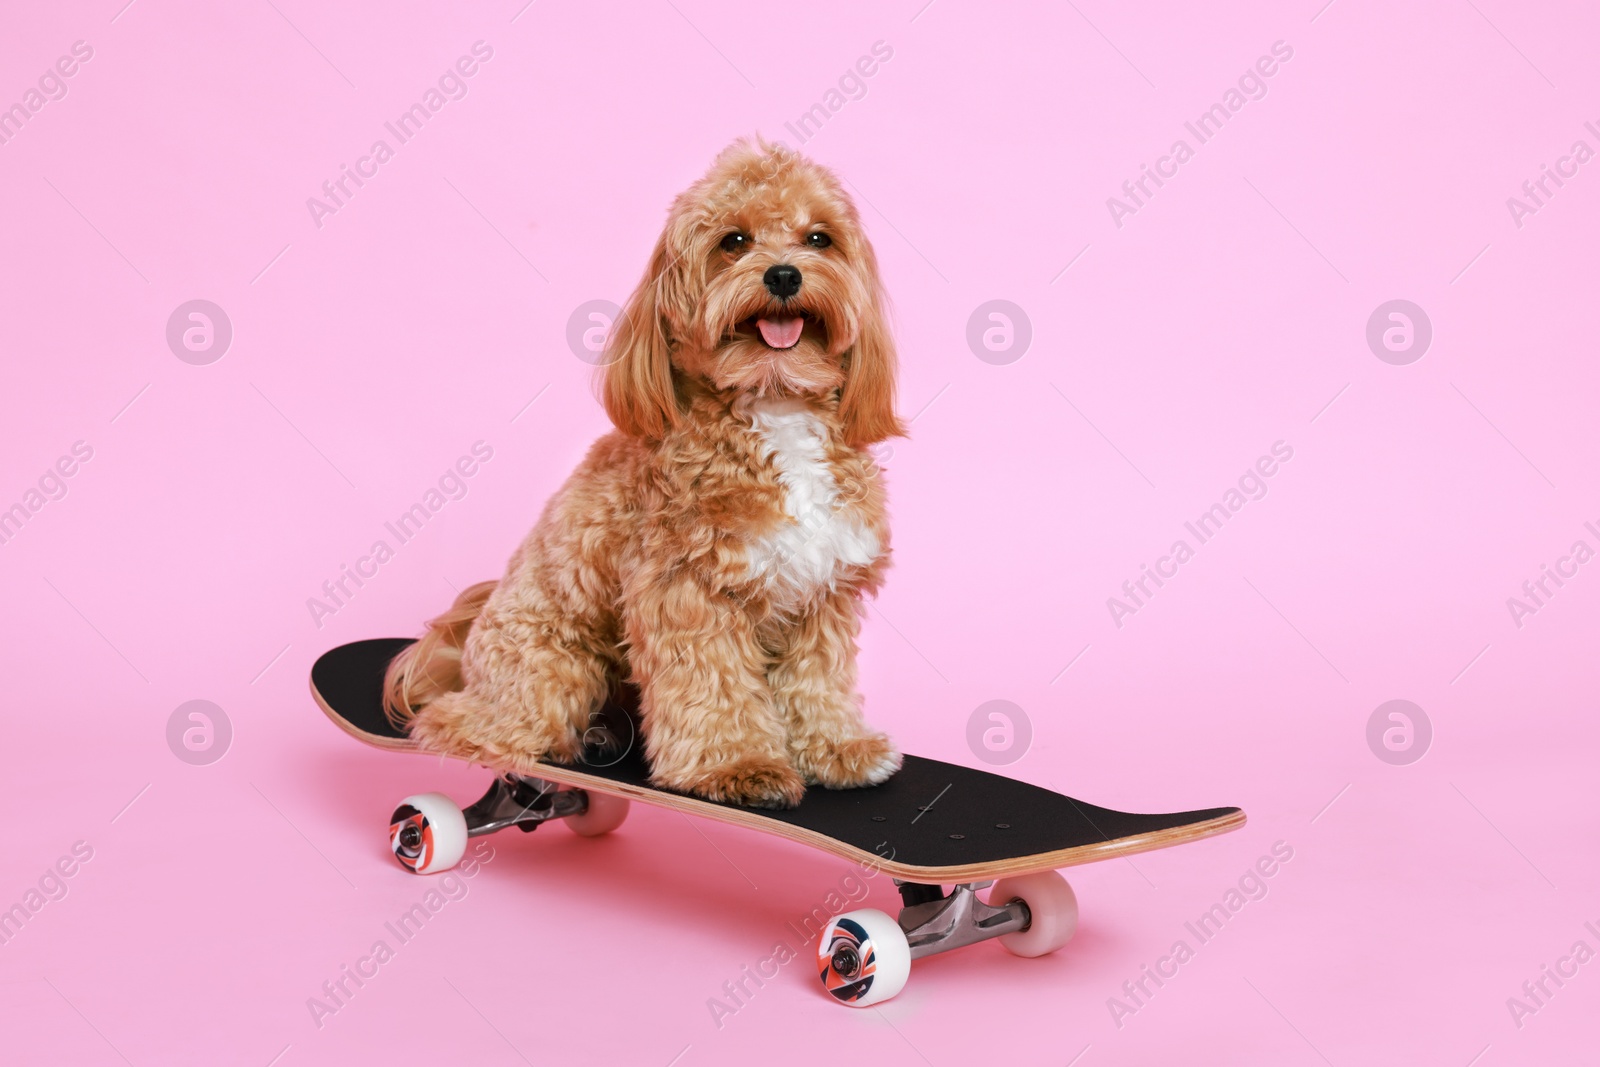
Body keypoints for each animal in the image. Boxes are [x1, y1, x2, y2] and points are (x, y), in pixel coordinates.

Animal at [387, 141, 908, 809]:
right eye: (733, 241)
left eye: (819, 238)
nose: (784, 275)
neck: (775, 403)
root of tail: (461, 643)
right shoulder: (688, 591)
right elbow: (712, 687)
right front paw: (736, 766)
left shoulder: (822, 592)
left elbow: (816, 681)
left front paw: (837, 749)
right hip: (550, 670)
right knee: (466, 724)